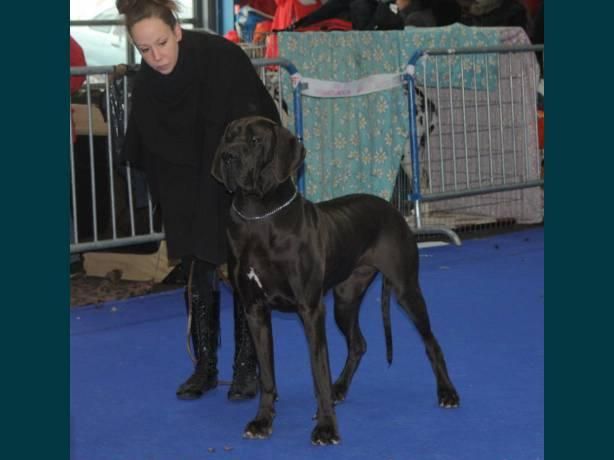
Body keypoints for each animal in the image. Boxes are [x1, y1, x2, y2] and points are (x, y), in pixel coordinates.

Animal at [212, 116, 460, 446]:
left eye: (255, 141)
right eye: (228, 137)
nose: (228, 156)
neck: (258, 215)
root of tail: (392, 207)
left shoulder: (310, 309)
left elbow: (318, 370)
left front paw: (326, 427)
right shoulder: (254, 310)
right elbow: (267, 374)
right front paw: (263, 421)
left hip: (406, 290)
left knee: (431, 343)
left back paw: (447, 392)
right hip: (345, 300)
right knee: (358, 344)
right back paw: (339, 388)